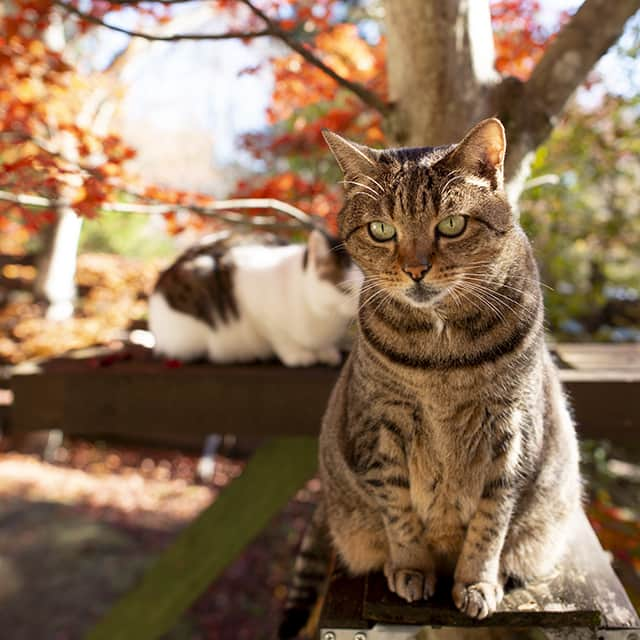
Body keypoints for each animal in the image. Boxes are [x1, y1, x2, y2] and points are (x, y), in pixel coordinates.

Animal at [282, 119, 584, 636]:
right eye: (382, 230)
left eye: (452, 225)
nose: (415, 269)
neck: (443, 360)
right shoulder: (382, 426)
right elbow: (399, 511)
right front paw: (410, 568)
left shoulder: (512, 431)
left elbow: (490, 522)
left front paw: (477, 582)